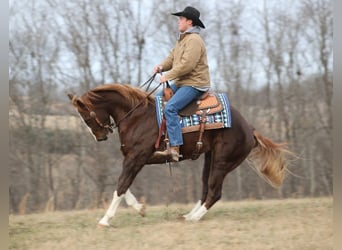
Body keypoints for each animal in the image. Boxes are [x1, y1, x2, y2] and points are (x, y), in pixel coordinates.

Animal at [67, 82, 292, 227]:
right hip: (210, 159)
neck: (137, 116)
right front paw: (140, 208)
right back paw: (187, 215)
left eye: (86, 117)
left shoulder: (136, 158)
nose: (100, 137)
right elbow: (123, 185)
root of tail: (249, 128)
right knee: (205, 189)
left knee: (214, 192)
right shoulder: (134, 159)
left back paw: (193, 218)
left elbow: (121, 185)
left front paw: (105, 219)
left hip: (222, 162)